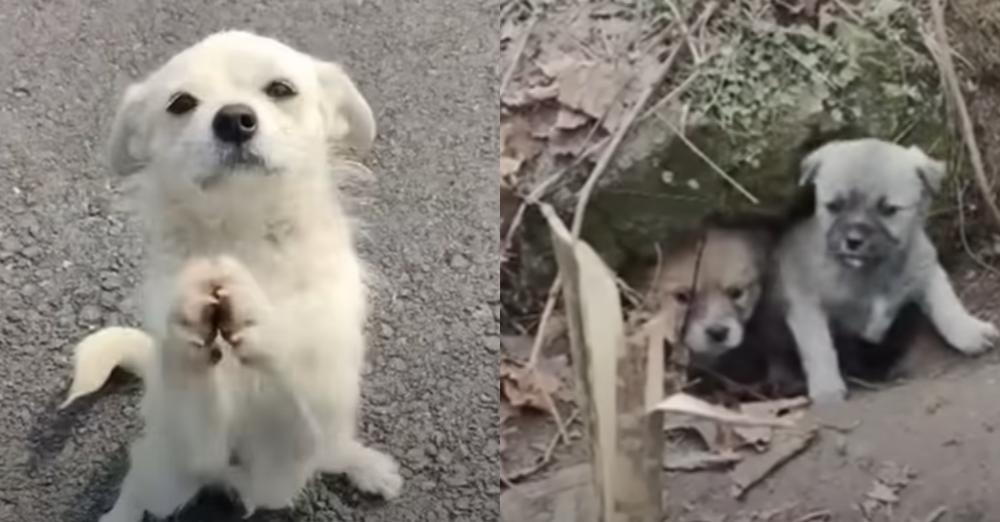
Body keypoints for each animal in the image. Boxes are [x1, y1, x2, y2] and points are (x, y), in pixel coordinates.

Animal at [61, 30, 402, 516]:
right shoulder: (199, 447)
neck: (247, 243)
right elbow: (192, 385)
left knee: (337, 449)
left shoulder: (310, 424)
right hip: (165, 477)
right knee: (138, 486)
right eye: (181, 103)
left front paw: (265, 324)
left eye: (281, 89)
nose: (234, 119)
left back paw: (366, 466)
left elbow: (296, 379)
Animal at [776, 136, 996, 400]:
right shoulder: (805, 302)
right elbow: (818, 345)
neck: (873, 271)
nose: (853, 241)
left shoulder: (927, 271)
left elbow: (948, 306)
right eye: (834, 206)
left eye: (889, 209)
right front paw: (826, 387)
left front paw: (970, 332)